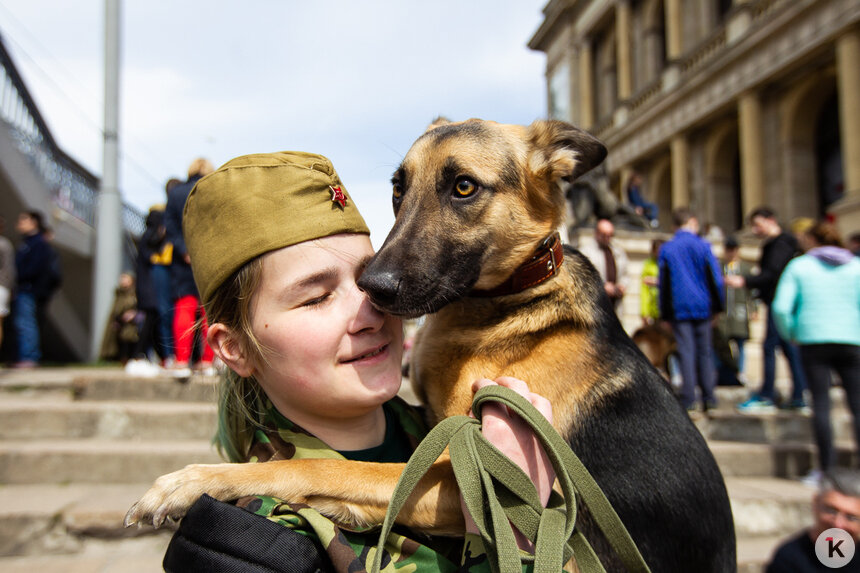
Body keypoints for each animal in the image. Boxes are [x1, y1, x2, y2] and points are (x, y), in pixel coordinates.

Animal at [124, 118, 736, 568]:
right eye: (399, 187)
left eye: (463, 186)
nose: (373, 287)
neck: (496, 306)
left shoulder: (474, 481)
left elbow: (336, 468)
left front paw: (201, 481)